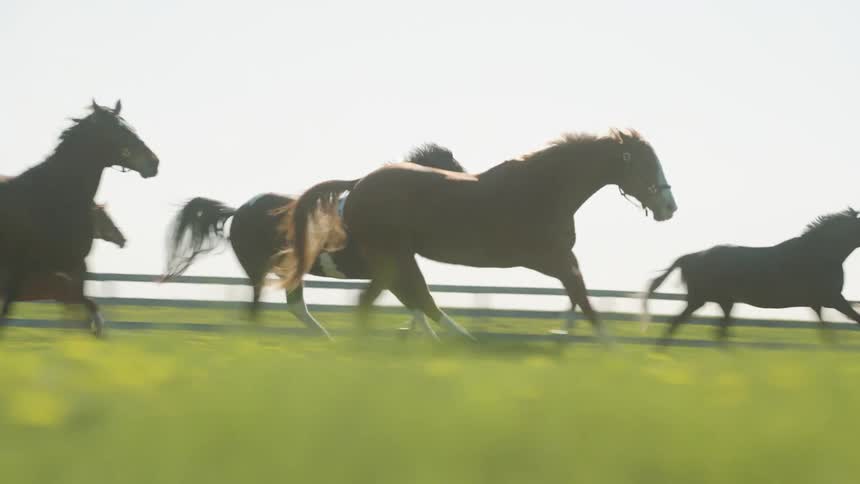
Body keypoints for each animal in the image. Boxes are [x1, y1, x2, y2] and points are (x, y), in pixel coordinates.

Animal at [161, 144, 465, 339]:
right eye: (450, 171)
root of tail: (238, 212)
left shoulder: (390, 272)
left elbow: (415, 304)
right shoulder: (390, 271)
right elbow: (421, 301)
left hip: (288, 271)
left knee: (295, 306)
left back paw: (326, 340)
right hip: (258, 270)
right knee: (257, 309)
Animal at [276, 129, 677, 341]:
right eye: (646, 164)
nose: (670, 207)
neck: (545, 188)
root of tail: (357, 185)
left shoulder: (559, 262)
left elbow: (577, 299)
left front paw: (561, 337)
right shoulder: (554, 259)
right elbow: (585, 301)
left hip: (395, 260)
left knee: (404, 300)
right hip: (394, 257)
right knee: (410, 300)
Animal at [642, 208, 860, 346]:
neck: (820, 253)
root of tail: (691, 257)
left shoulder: (818, 303)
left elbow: (827, 332)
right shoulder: (832, 299)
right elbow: (852, 320)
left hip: (723, 302)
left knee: (718, 332)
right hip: (700, 300)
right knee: (676, 324)